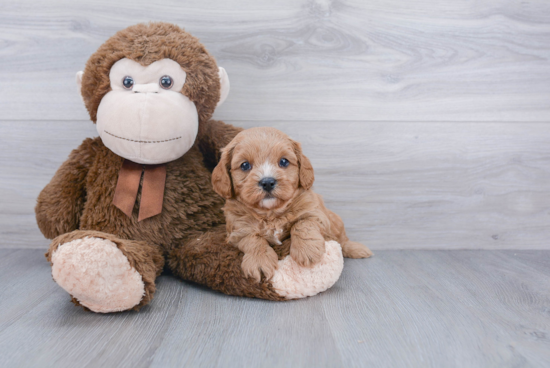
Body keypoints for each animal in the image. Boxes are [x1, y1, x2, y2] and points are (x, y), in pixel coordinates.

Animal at [213, 126, 374, 282]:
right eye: (245, 165)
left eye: (284, 162)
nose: (267, 182)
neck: (271, 213)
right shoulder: (237, 230)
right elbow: (252, 239)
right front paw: (259, 261)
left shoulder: (315, 213)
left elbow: (303, 224)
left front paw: (307, 251)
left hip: (336, 221)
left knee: (342, 240)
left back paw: (357, 249)